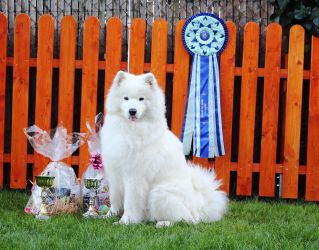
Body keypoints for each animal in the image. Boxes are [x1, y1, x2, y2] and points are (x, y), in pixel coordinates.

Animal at [101, 70, 229, 227]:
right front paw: (109, 216)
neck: (130, 129)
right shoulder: (114, 173)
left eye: (141, 99)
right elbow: (114, 199)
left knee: (187, 220)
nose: (132, 111)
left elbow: (130, 202)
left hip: (159, 193)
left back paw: (163, 224)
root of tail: (201, 207)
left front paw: (126, 221)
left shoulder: (134, 177)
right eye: (126, 98)